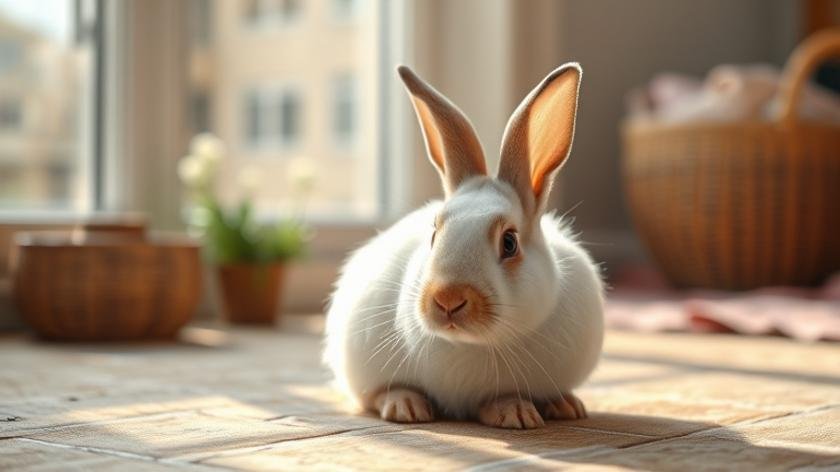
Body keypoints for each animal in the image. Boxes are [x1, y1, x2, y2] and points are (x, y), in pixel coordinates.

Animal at [324, 63, 604, 429]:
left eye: (510, 243)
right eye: (433, 234)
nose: (447, 300)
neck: (477, 344)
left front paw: (523, 412)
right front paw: (515, 412)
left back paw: (566, 405)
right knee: (376, 394)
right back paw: (405, 406)